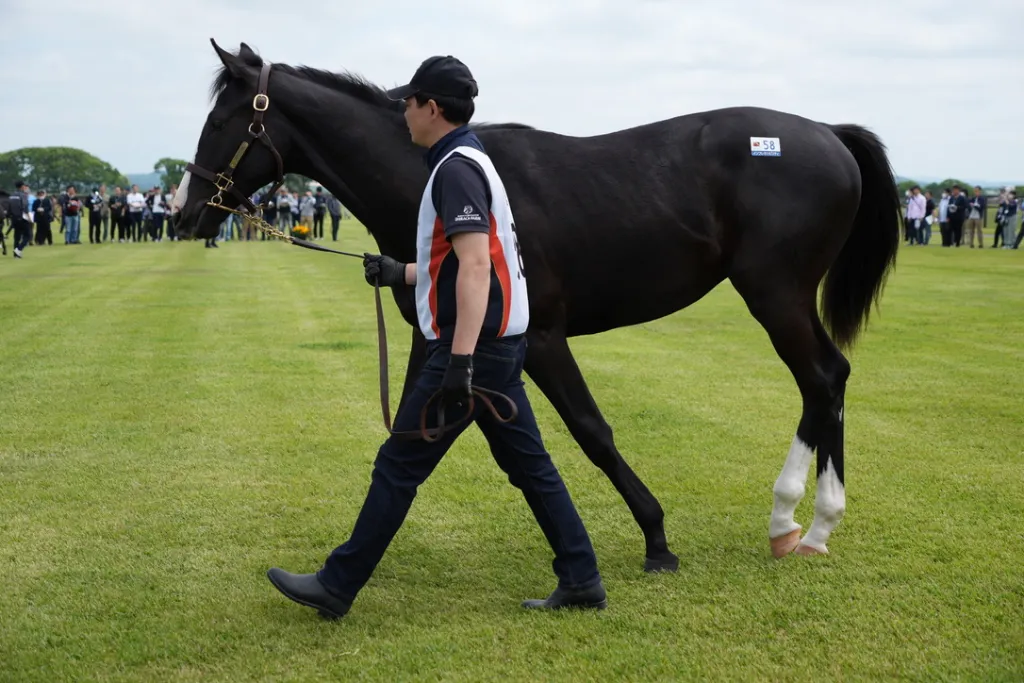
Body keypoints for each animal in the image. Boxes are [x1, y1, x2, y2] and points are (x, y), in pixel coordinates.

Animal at [172, 40, 901, 569]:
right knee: (828, 381)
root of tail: (827, 133)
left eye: (220, 119)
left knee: (821, 378)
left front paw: (656, 538)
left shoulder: (541, 337)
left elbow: (591, 431)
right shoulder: (443, 342)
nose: (184, 212)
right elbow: (412, 437)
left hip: (775, 292)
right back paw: (810, 527)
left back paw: (792, 518)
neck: (431, 177)